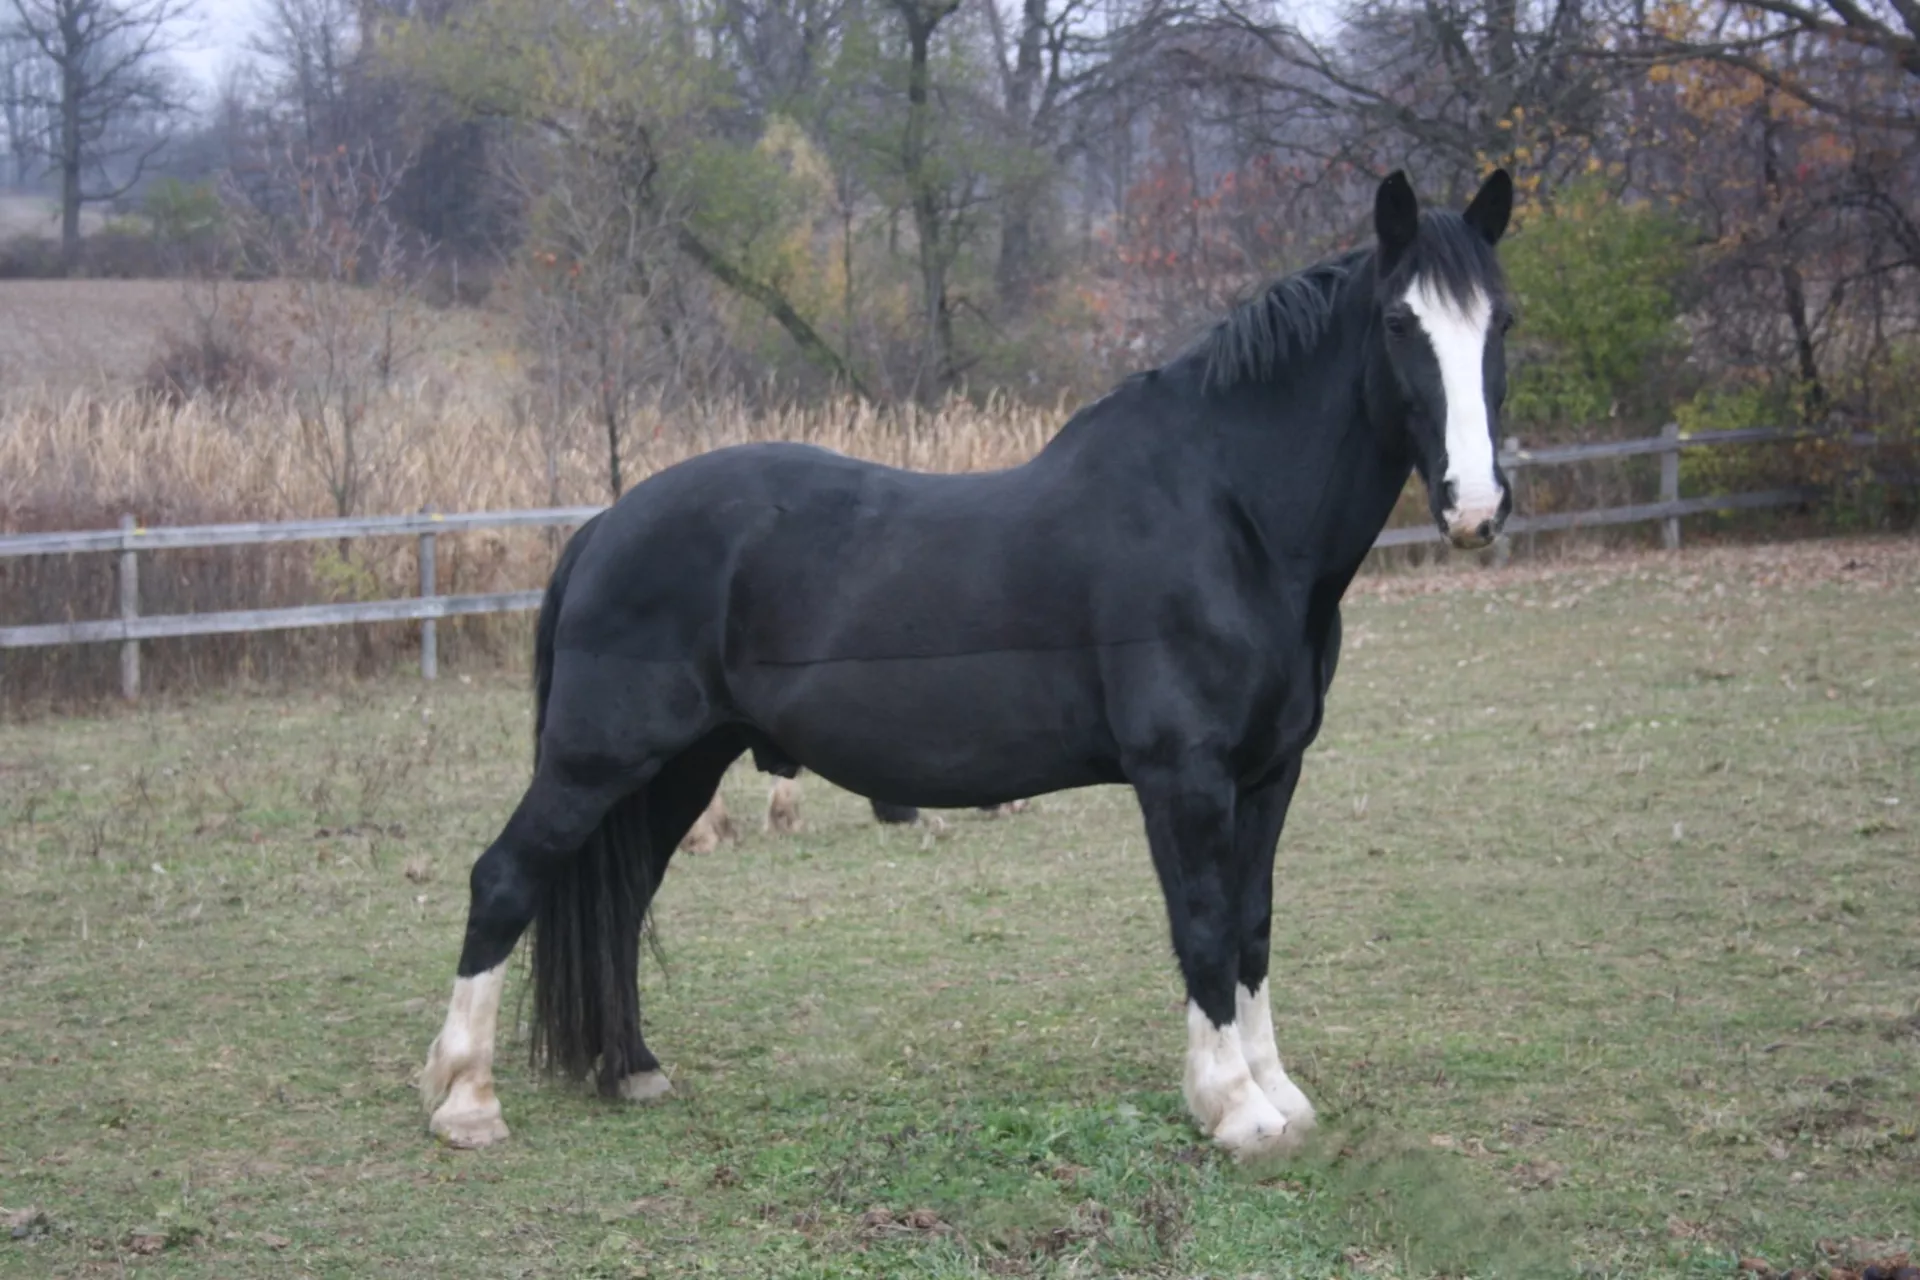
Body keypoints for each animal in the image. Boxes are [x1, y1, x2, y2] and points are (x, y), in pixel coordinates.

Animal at [420, 167, 1512, 1159]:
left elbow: (1251, 925)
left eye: (1499, 321)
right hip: (597, 760)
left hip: (681, 766)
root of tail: (604, 526)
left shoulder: (1270, 773)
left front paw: (1279, 1096)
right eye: (1400, 322)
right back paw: (466, 1101)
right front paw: (1234, 1109)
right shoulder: (1185, 775)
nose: (1476, 506)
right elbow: (1202, 924)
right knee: (504, 879)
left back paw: (632, 1070)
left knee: (622, 900)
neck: (1226, 515)